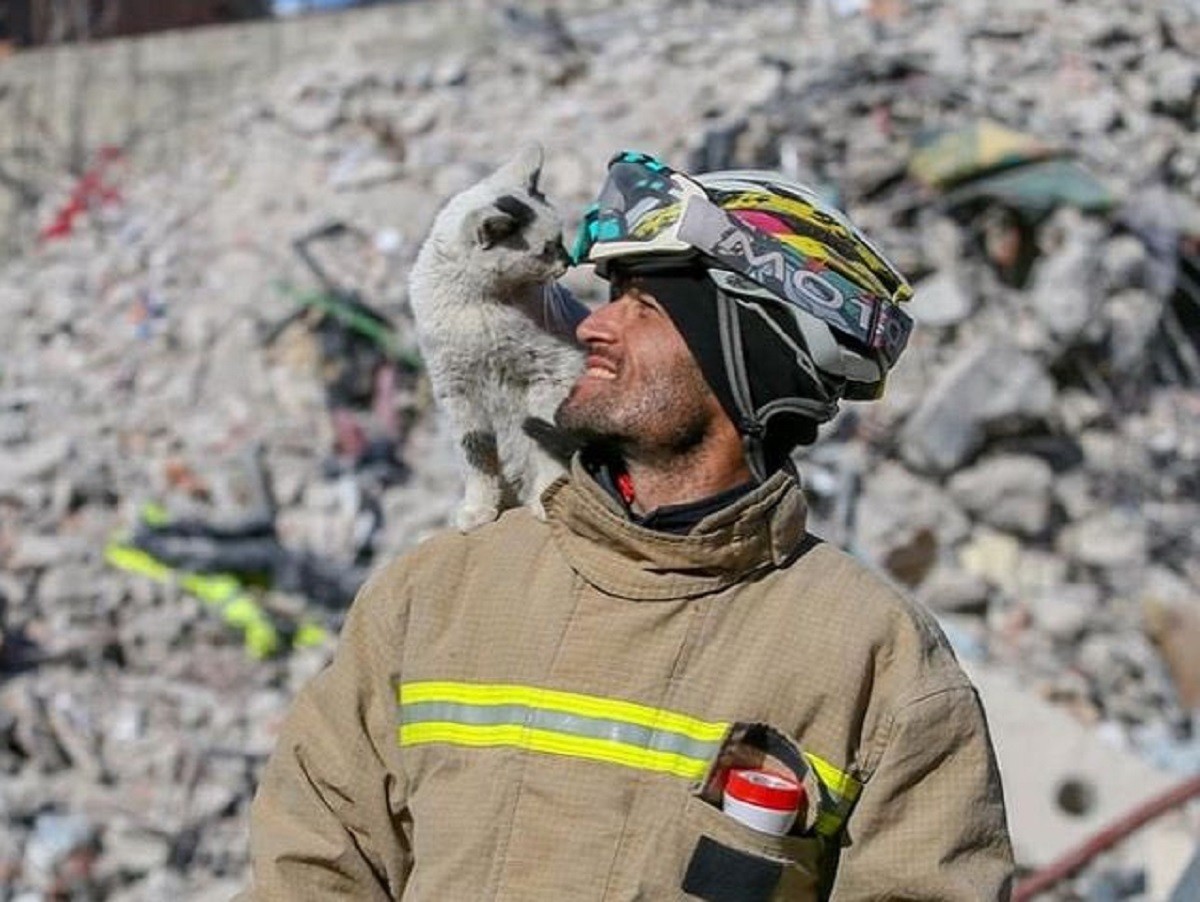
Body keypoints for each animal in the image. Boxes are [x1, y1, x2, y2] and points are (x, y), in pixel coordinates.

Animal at [410, 144, 588, 532]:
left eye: (561, 239)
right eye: (546, 249)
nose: (569, 261)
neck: (479, 305)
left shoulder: (553, 373)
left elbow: (544, 446)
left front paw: (546, 499)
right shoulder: (457, 393)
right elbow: (476, 458)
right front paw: (478, 511)